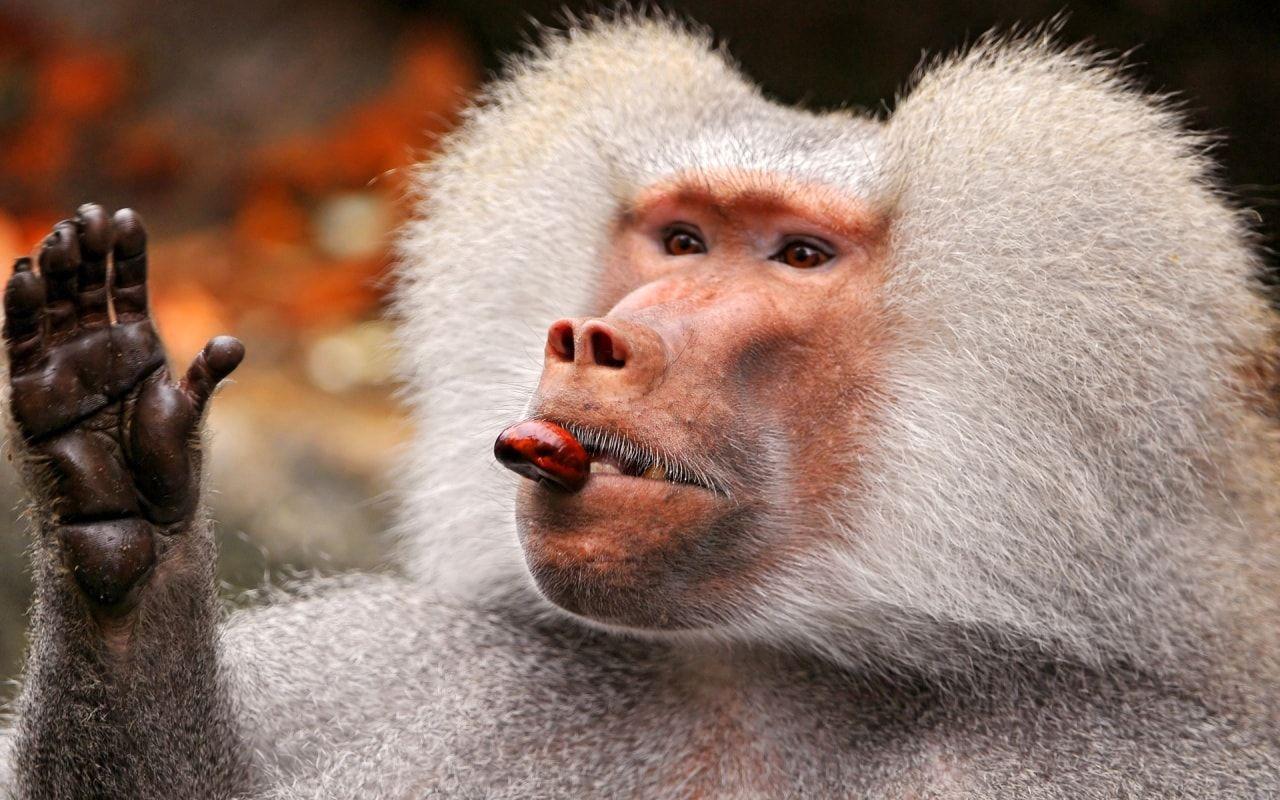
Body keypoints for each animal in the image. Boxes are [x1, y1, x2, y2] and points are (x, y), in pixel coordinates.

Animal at [1, 14, 1278, 799]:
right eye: (679, 238)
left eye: (797, 254)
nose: (594, 337)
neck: (756, 665)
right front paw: (108, 463)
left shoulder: (1104, 748)